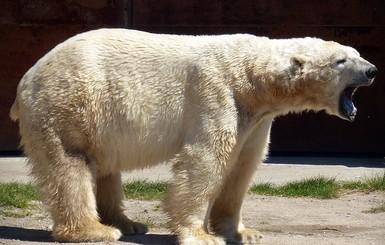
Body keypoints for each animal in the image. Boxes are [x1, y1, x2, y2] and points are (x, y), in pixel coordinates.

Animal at [9, 28, 376, 243]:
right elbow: (206, 160)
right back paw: (96, 230)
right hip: (70, 105)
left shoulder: (256, 119)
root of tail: (28, 77)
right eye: (341, 60)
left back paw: (128, 223)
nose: (372, 70)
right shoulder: (216, 93)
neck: (252, 78)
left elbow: (242, 167)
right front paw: (201, 235)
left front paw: (244, 232)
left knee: (105, 168)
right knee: (71, 165)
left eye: (355, 53)